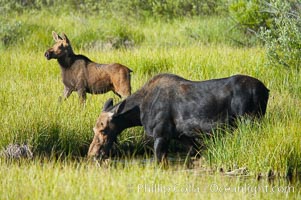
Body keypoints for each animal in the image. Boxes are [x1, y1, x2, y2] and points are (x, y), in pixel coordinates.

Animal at [88, 73, 268, 162]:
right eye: (94, 129)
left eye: (104, 130)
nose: (92, 154)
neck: (138, 114)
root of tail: (266, 90)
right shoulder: (182, 136)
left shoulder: (161, 135)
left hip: (249, 121)